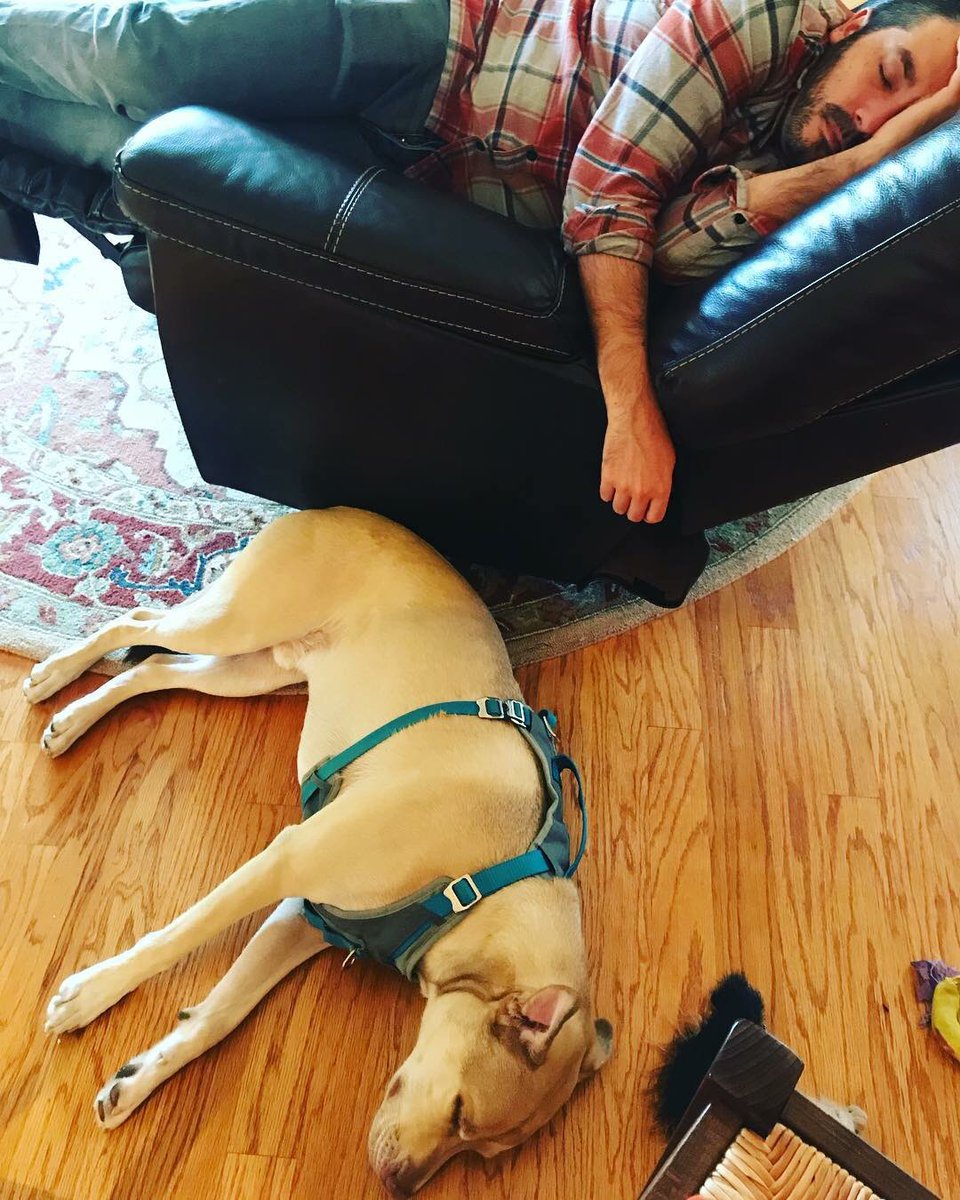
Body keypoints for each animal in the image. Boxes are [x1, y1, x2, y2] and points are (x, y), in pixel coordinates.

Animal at [24, 508, 611, 1196]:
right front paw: (90, 993)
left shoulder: (305, 917)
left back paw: (75, 719)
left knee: (153, 668)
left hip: (253, 671)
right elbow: (174, 937)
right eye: (461, 1115)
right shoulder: (287, 862)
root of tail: (339, 511)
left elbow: (221, 1014)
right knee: (138, 622)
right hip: (238, 623)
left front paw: (139, 1080)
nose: (400, 1183)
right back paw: (55, 676)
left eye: (482, 1153)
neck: (484, 883)